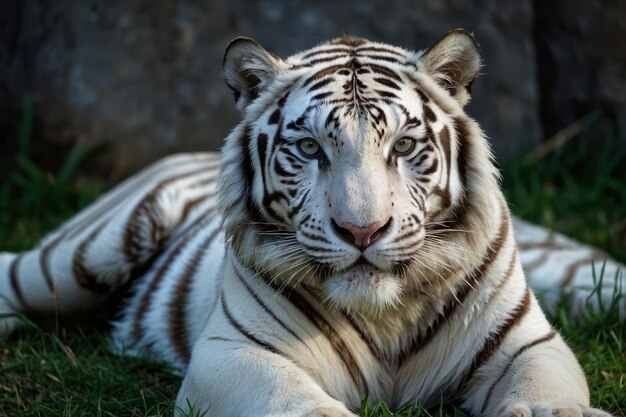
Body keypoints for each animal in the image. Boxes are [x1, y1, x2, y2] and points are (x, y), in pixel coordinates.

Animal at [2, 30, 620, 416]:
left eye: (403, 146)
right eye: (309, 148)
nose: (362, 232)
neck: (389, 317)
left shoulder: (528, 344)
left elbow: (547, 392)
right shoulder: (233, 352)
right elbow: (297, 405)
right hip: (86, 255)